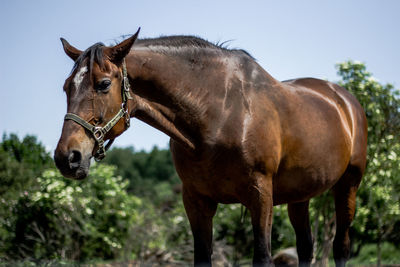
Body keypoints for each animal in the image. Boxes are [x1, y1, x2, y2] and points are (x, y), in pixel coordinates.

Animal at [54, 28, 368, 266]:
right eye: (67, 86)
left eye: (104, 84)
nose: (67, 158)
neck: (220, 114)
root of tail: (345, 101)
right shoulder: (196, 200)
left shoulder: (261, 196)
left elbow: (262, 256)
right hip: (299, 196)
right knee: (306, 247)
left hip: (348, 185)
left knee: (341, 247)